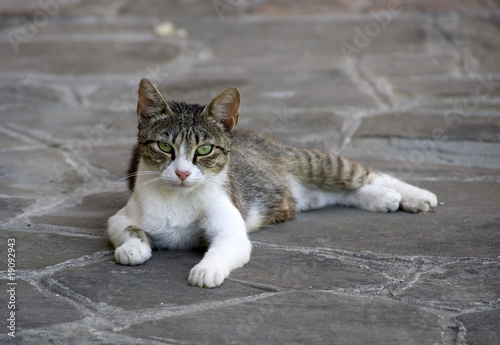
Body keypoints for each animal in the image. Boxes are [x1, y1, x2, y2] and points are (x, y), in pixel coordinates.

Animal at [106, 78, 438, 288]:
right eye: (165, 147)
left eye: (204, 149)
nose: (183, 173)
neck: (179, 197)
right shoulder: (121, 216)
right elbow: (126, 229)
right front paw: (132, 249)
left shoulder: (230, 227)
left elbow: (225, 246)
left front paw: (207, 269)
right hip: (308, 196)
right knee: (343, 192)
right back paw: (383, 197)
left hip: (314, 163)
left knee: (364, 173)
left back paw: (416, 195)